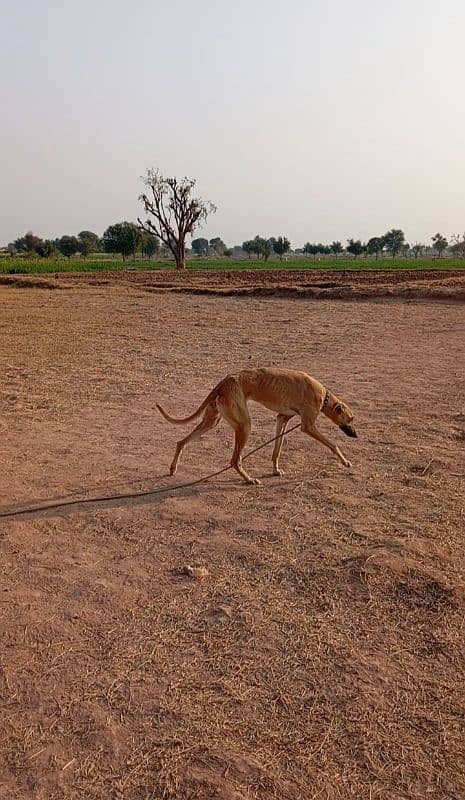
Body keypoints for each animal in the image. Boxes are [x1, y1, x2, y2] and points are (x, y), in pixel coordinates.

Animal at [156, 368, 356, 484]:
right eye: (351, 419)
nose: (356, 435)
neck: (324, 397)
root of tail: (225, 381)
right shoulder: (307, 426)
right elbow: (333, 445)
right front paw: (345, 462)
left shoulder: (282, 418)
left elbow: (277, 450)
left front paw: (275, 470)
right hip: (244, 425)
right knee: (234, 460)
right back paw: (249, 479)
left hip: (212, 420)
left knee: (181, 442)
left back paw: (173, 468)